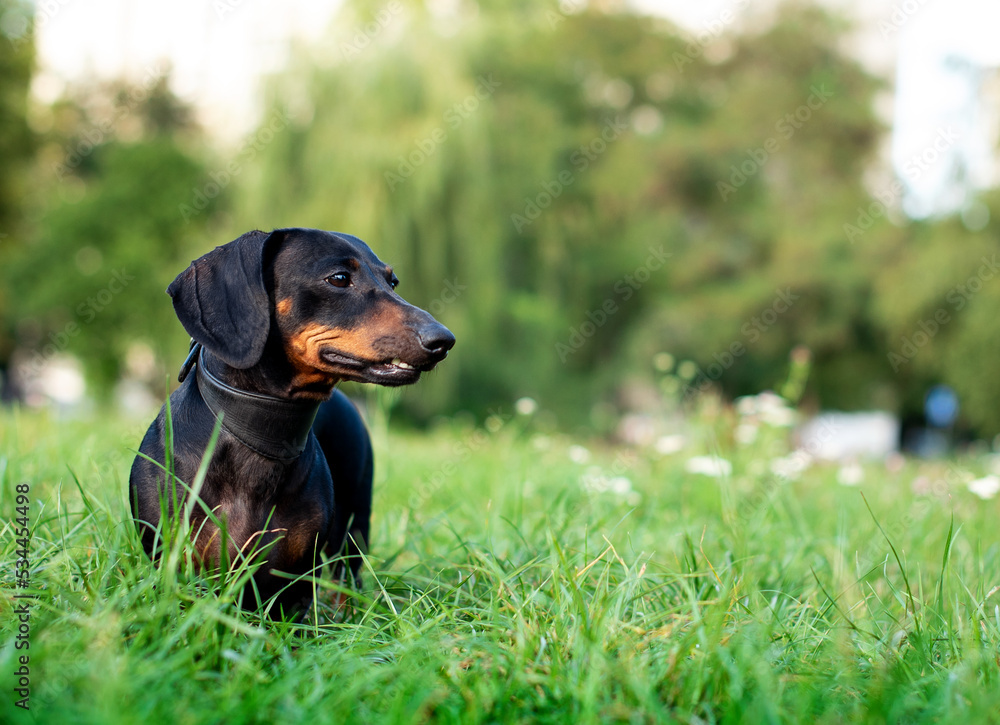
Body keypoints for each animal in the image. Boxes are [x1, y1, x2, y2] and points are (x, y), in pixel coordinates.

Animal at [127, 229, 456, 612]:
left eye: (393, 282)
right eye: (339, 278)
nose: (443, 340)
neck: (259, 432)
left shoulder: (296, 582)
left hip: (353, 527)